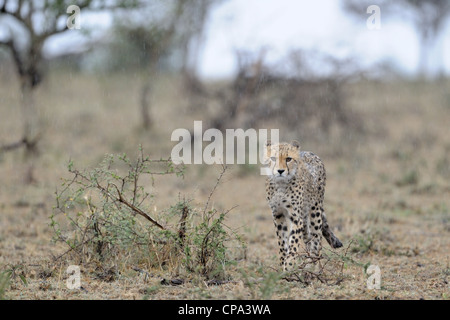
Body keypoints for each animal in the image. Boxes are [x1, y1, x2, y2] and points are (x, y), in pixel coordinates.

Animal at [264, 140, 342, 270]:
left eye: (288, 159)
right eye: (273, 158)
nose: (280, 171)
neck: (281, 184)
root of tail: (310, 152)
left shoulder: (296, 217)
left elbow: (294, 242)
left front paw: (289, 266)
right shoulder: (278, 214)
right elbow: (282, 241)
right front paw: (282, 264)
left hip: (315, 210)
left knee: (317, 238)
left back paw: (315, 264)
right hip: (305, 216)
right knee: (307, 236)